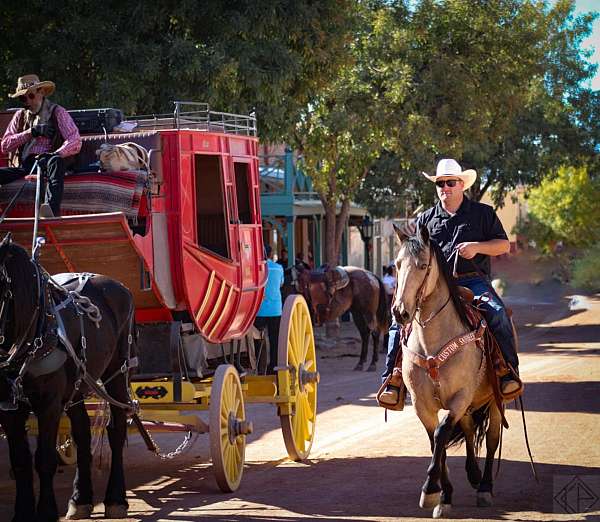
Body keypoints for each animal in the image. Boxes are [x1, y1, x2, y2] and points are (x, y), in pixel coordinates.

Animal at [0, 235, 136, 520]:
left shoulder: (49, 404)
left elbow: (44, 459)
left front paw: (47, 511)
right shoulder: (7, 408)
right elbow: (20, 461)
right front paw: (23, 512)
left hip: (118, 374)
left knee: (116, 431)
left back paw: (116, 499)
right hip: (78, 385)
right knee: (82, 432)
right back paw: (80, 499)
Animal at [394, 224, 510, 516]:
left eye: (423, 265)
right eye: (397, 265)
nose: (400, 312)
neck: (432, 344)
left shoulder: (460, 397)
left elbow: (442, 434)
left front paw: (430, 491)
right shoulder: (422, 404)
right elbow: (437, 442)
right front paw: (443, 495)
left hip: (493, 401)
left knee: (491, 439)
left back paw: (485, 487)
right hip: (470, 407)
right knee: (468, 430)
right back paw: (473, 474)